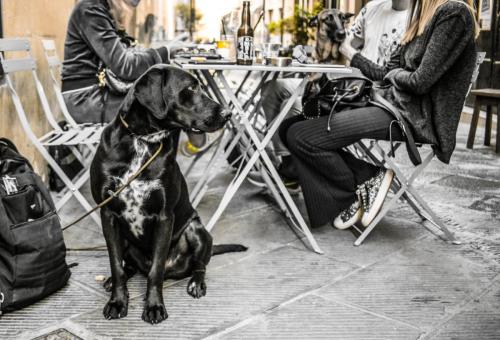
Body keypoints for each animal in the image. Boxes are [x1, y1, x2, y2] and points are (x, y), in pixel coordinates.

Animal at [91, 64, 247, 324]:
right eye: (191, 88)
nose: (227, 114)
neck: (142, 140)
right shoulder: (108, 214)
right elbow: (116, 264)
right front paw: (117, 301)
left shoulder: (164, 217)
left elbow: (156, 271)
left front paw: (154, 306)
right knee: (128, 265)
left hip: (196, 230)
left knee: (198, 265)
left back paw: (196, 283)